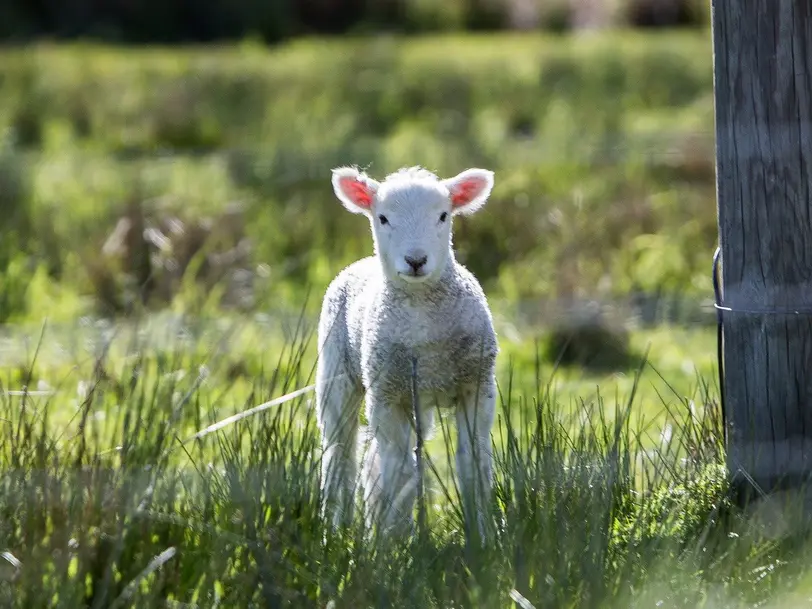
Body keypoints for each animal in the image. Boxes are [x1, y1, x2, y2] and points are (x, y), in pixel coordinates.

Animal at [314, 163, 498, 536]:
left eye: (443, 215)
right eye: (383, 217)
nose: (416, 260)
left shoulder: (476, 385)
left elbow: (473, 463)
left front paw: (482, 535)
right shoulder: (387, 394)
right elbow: (398, 472)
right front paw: (395, 541)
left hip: (416, 397)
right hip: (337, 374)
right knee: (340, 453)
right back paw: (337, 529)